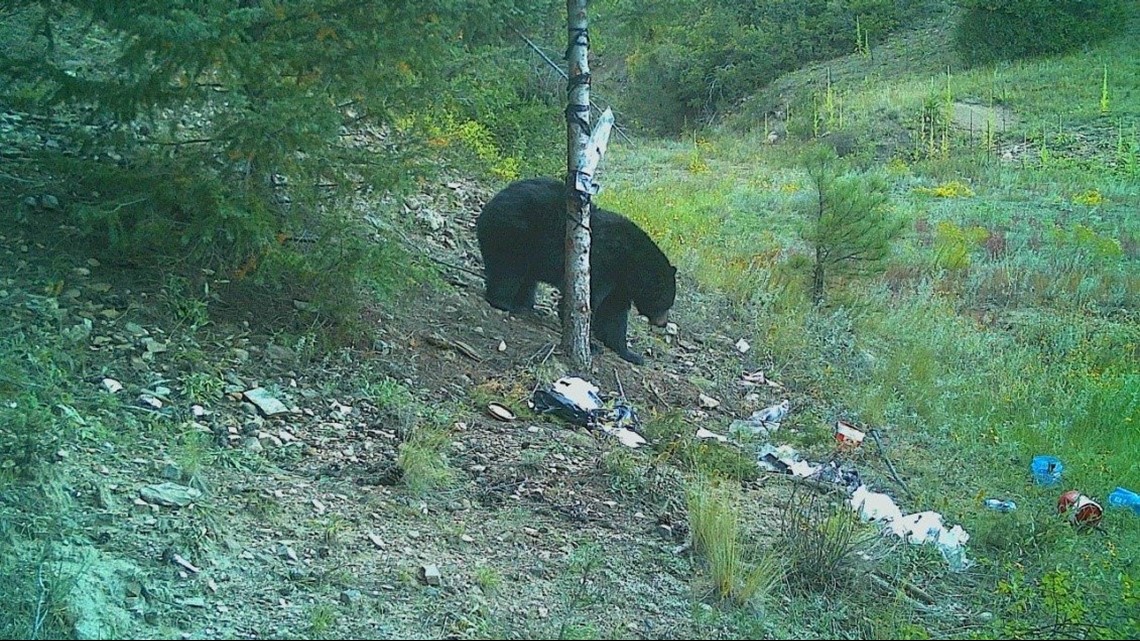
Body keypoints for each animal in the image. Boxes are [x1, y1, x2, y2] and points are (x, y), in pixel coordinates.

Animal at [476, 177, 677, 365]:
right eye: (664, 302)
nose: (663, 322)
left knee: (527, 280)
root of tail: (488, 206)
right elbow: (586, 299)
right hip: (515, 231)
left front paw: (630, 353)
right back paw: (505, 303)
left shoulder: (618, 286)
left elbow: (614, 315)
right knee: (509, 270)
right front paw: (592, 345)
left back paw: (526, 306)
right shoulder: (601, 263)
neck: (629, 264)